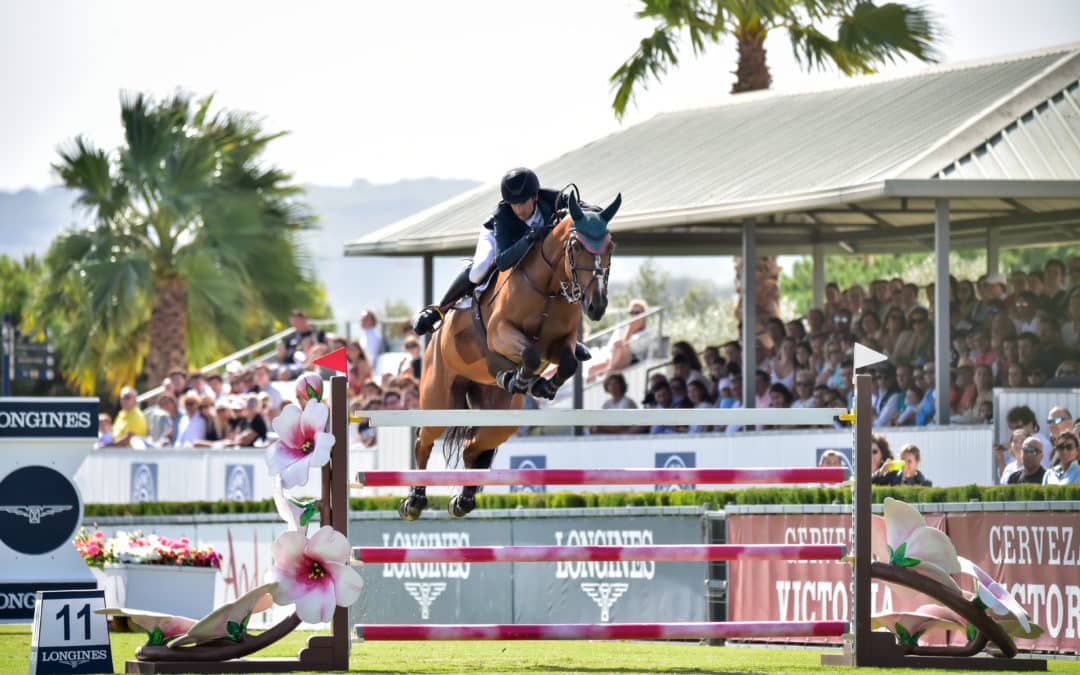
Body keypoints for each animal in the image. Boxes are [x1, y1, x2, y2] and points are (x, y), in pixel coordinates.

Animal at [397, 192, 622, 518]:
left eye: (610, 246)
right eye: (577, 246)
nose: (597, 306)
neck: (548, 286)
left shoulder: (563, 342)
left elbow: (567, 362)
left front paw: (540, 385)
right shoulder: (500, 332)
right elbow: (529, 353)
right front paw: (524, 379)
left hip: (501, 417)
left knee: (473, 446)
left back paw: (463, 501)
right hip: (439, 399)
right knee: (423, 440)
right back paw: (414, 501)